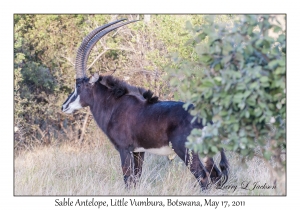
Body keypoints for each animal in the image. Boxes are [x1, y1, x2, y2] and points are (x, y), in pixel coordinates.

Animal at [61, 19, 230, 189]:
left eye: (79, 86)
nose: (64, 106)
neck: (115, 106)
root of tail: (207, 118)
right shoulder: (138, 151)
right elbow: (136, 178)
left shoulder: (124, 149)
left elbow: (128, 180)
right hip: (206, 153)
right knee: (215, 176)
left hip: (186, 150)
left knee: (203, 177)